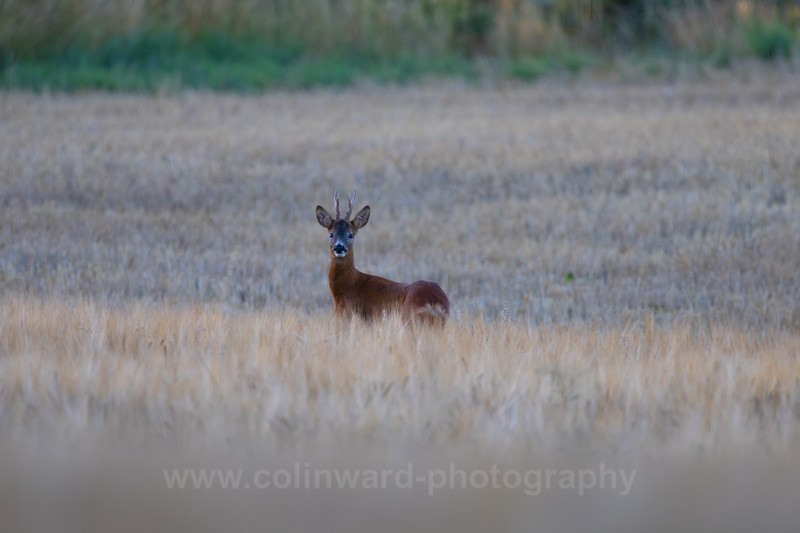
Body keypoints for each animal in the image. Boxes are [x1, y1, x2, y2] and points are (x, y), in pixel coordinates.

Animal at [315, 190, 450, 326]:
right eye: (331, 234)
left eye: (351, 235)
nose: (339, 247)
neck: (347, 287)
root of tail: (434, 302)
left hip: (409, 317)